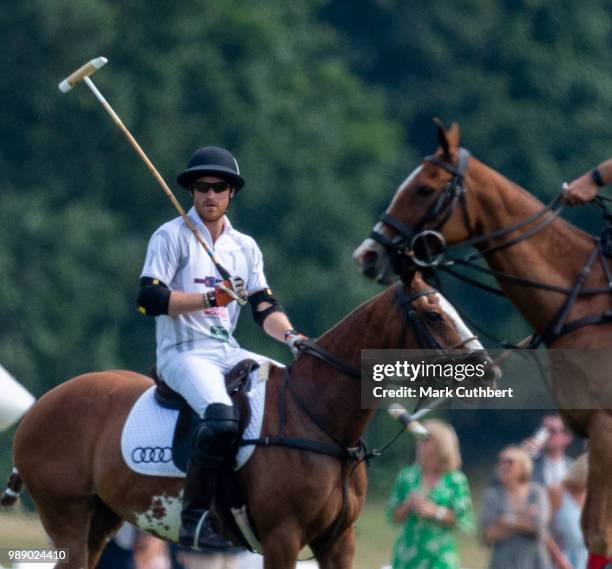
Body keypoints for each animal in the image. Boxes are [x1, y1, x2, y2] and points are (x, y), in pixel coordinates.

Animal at [1, 272, 488, 564]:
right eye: (432, 314)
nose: (486, 367)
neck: (320, 419)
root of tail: (39, 406)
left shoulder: (339, 541)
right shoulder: (281, 538)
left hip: (100, 518)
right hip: (64, 515)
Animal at [356, 122, 612, 556]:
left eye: (424, 188)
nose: (368, 254)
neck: (581, 302)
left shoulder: (605, 426)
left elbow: (597, 533)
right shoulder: (592, 431)